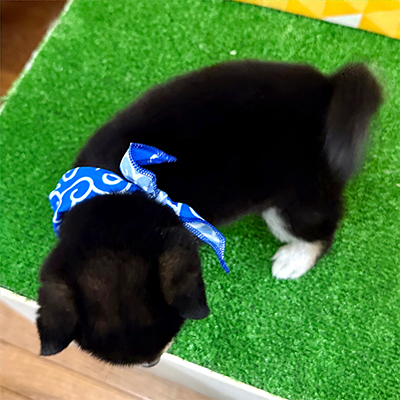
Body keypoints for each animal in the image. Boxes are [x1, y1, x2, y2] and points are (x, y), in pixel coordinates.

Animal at [37, 60, 382, 366]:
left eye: (171, 334)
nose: (153, 362)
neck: (121, 200)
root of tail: (328, 87)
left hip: (292, 205)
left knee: (322, 231)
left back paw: (295, 259)